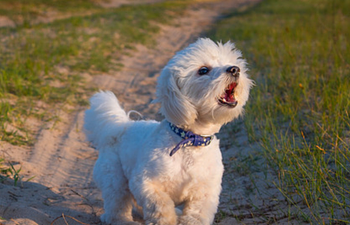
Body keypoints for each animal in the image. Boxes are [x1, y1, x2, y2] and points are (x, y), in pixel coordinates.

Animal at [85, 37, 254, 224]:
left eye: (230, 63)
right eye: (203, 70)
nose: (234, 69)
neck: (190, 140)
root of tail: (120, 126)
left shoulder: (204, 195)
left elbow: (195, 216)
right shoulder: (146, 184)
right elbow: (161, 207)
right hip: (115, 179)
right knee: (116, 208)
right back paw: (123, 220)